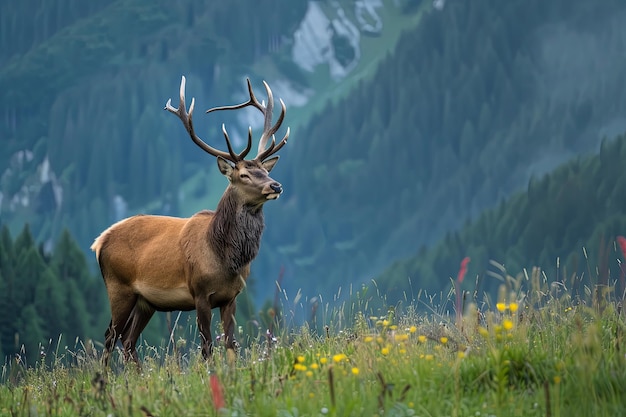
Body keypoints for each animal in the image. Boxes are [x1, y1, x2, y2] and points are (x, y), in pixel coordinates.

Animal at [90, 75, 288, 364]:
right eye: (244, 175)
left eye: (265, 169)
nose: (276, 186)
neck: (224, 257)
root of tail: (100, 241)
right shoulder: (200, 293)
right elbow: (207, 347)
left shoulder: (231, 297)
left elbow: (231, 344)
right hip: (118, 288)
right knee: (109, 337)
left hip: (145, 301)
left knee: (127, 341)